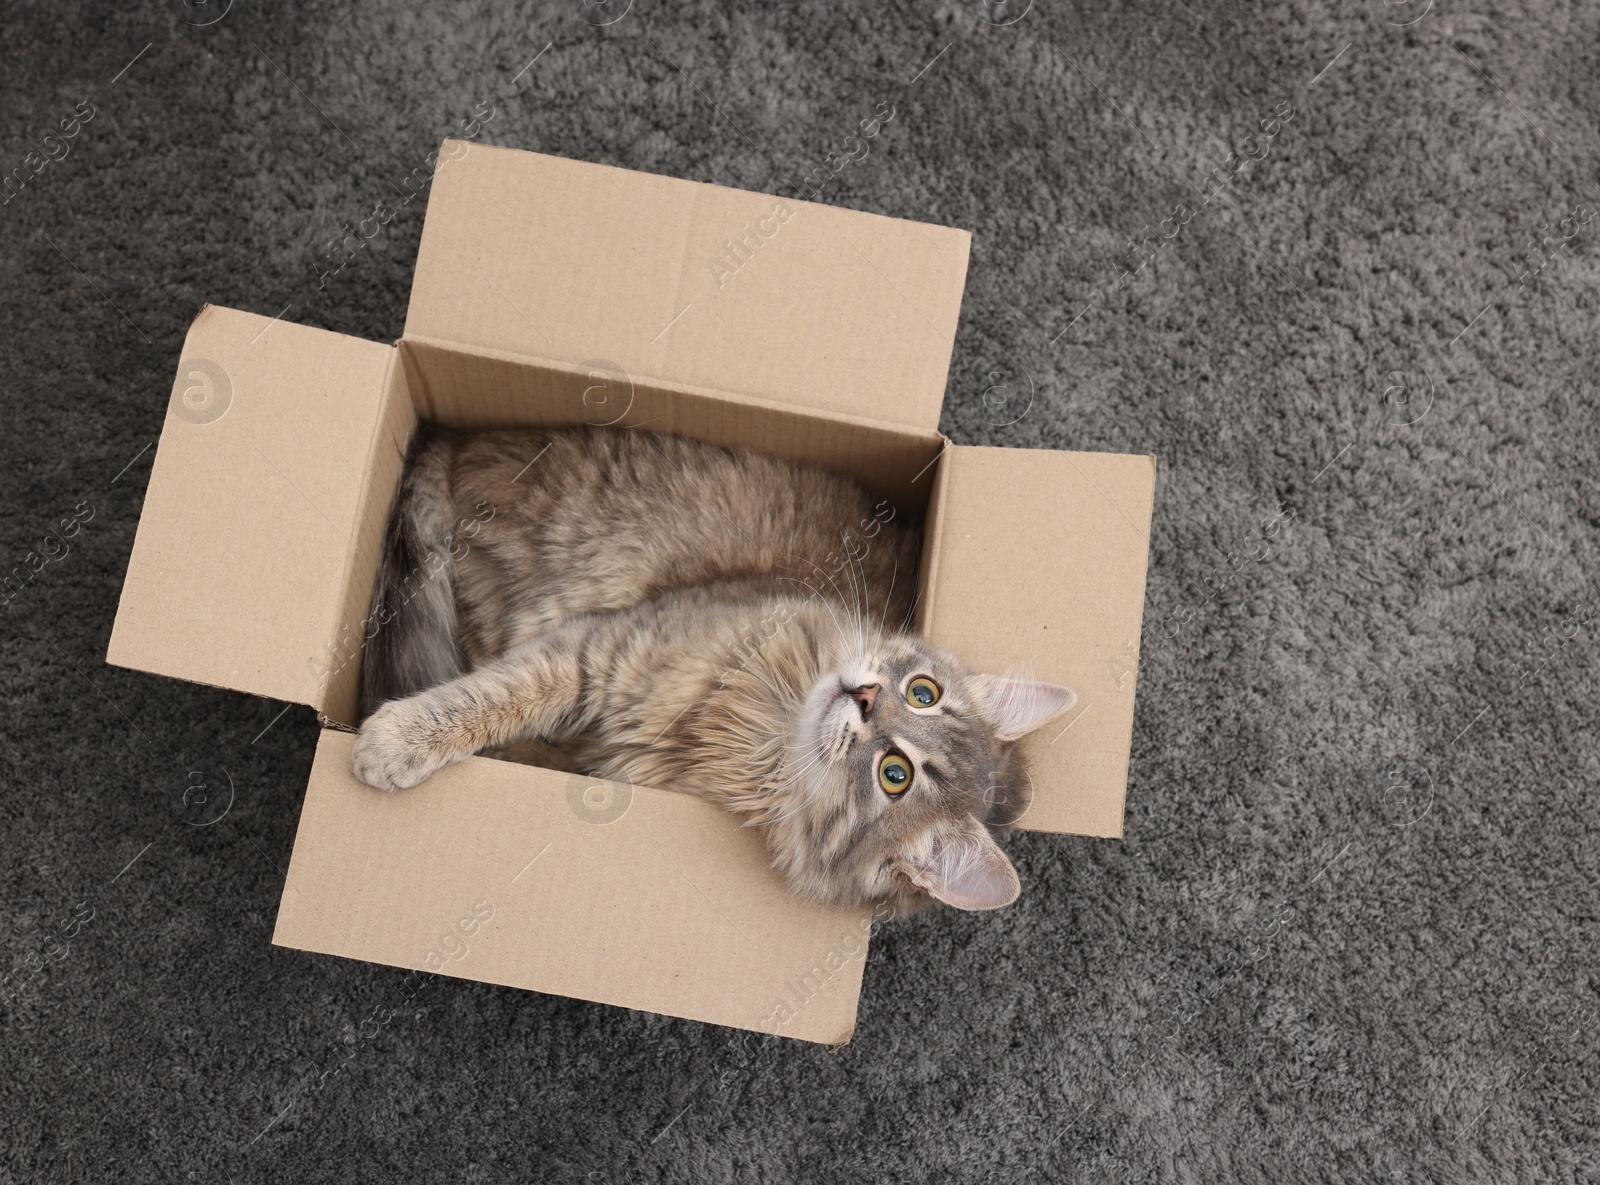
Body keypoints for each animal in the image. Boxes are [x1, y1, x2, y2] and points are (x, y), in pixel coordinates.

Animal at [353, 425, 1075, 914]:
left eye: (893, 776)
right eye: (923, 691)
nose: (866, 695)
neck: (759, 714)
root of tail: (462, 436)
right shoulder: (598, 648)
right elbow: (490, 699)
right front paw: (396, 740)